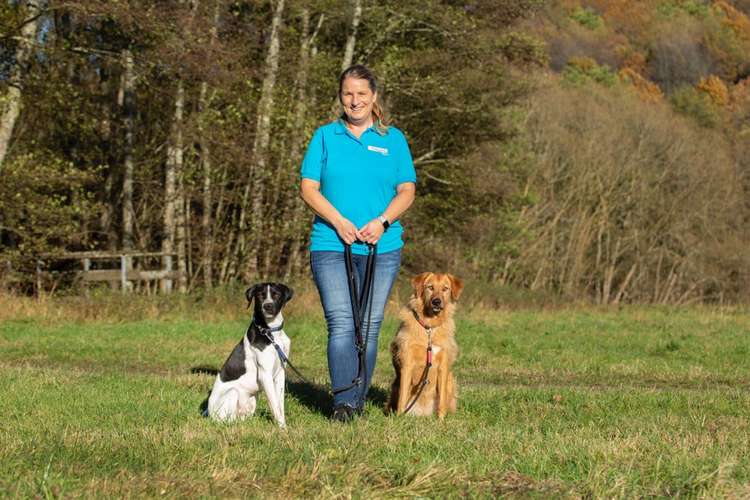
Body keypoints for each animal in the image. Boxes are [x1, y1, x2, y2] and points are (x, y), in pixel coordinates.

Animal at [210, 282, 298, 426]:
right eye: (260, 295)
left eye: (276, 295)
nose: (267, 306)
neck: (271, 332)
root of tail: (207, 413)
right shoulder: (265, 375)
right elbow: (275, 405)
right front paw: (282, 428)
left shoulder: (280, 373)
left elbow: (280, 405)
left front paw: (283, 424)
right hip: (232, 393)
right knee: (226, 421)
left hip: (252, 399)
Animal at [388, 272, 464, 416]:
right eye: (430, 287)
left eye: (445, 288)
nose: (436, 301)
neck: (429, 328)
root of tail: (423, 413)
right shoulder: (407, 364)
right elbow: (402, 397)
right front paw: (399, 417)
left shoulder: (443, 366)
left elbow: (442, 401)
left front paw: (441, 420)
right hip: (395, 386)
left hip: (450, 380)